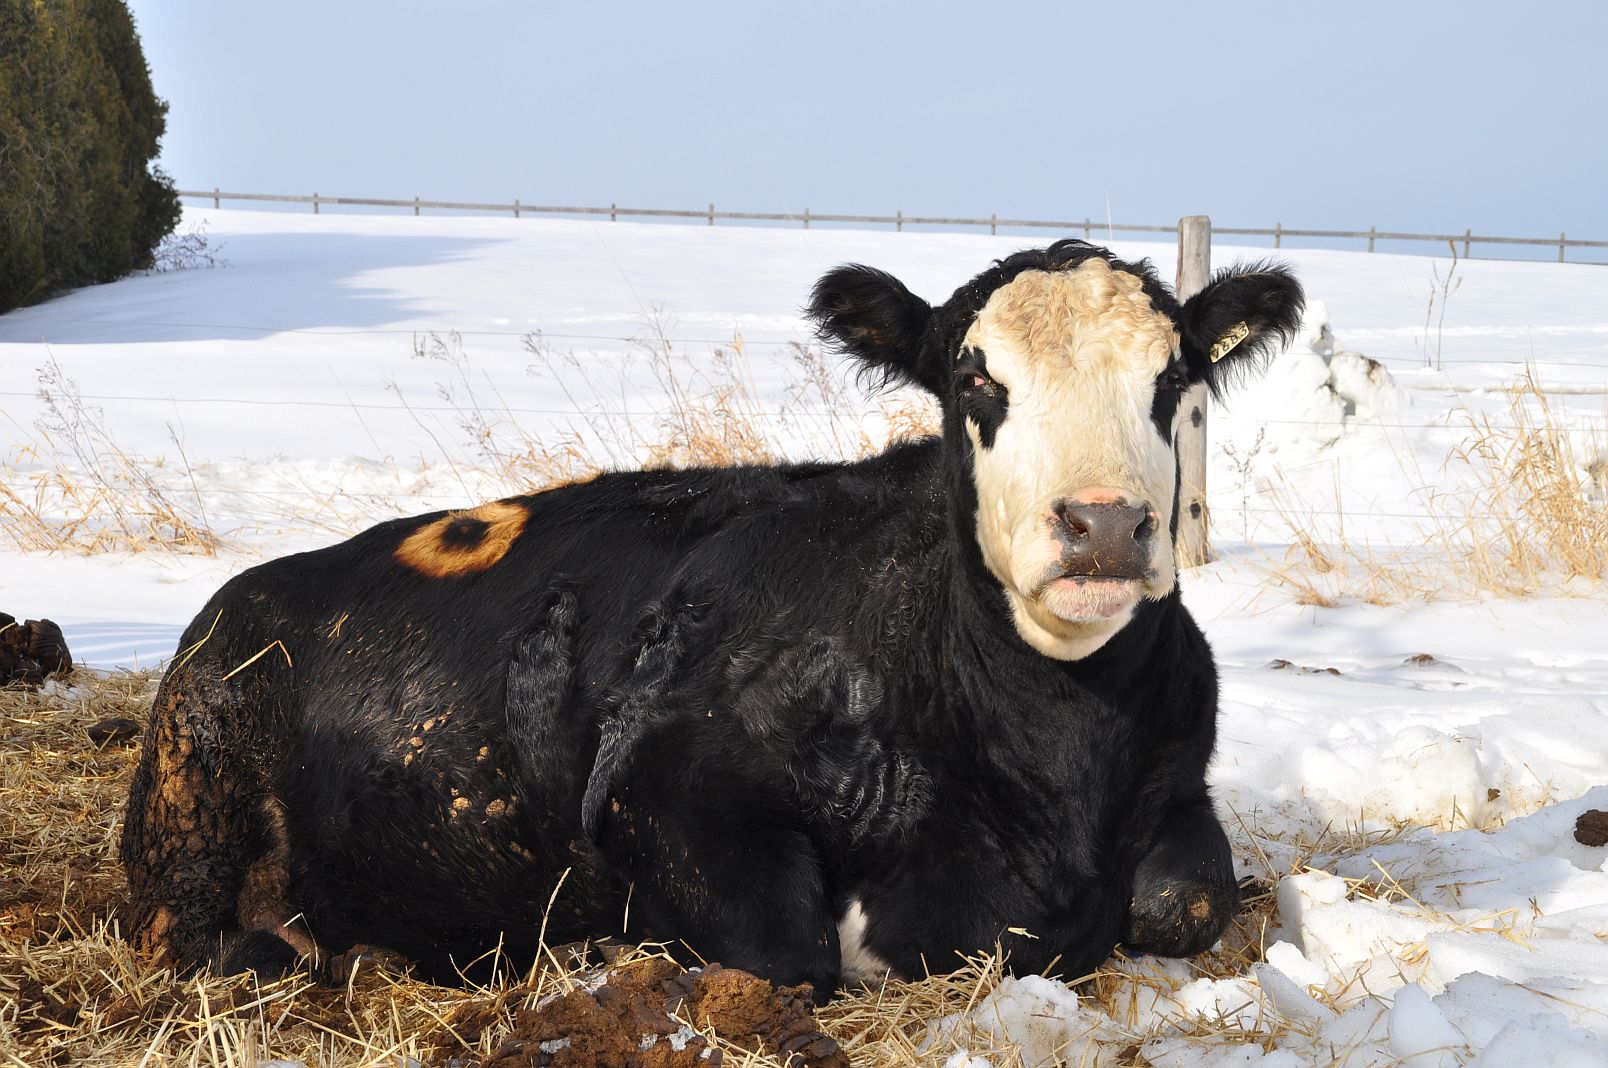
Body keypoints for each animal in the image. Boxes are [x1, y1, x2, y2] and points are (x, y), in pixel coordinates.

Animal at [121, 240, 1302, 996]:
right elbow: (793, 956)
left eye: (1174, 376)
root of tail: (246, 591)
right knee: (188, 935)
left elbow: (1187, 900)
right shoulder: (661, 786)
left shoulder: (1176, 781)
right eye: (973, 377)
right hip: (197, 776)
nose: (1103, 524)